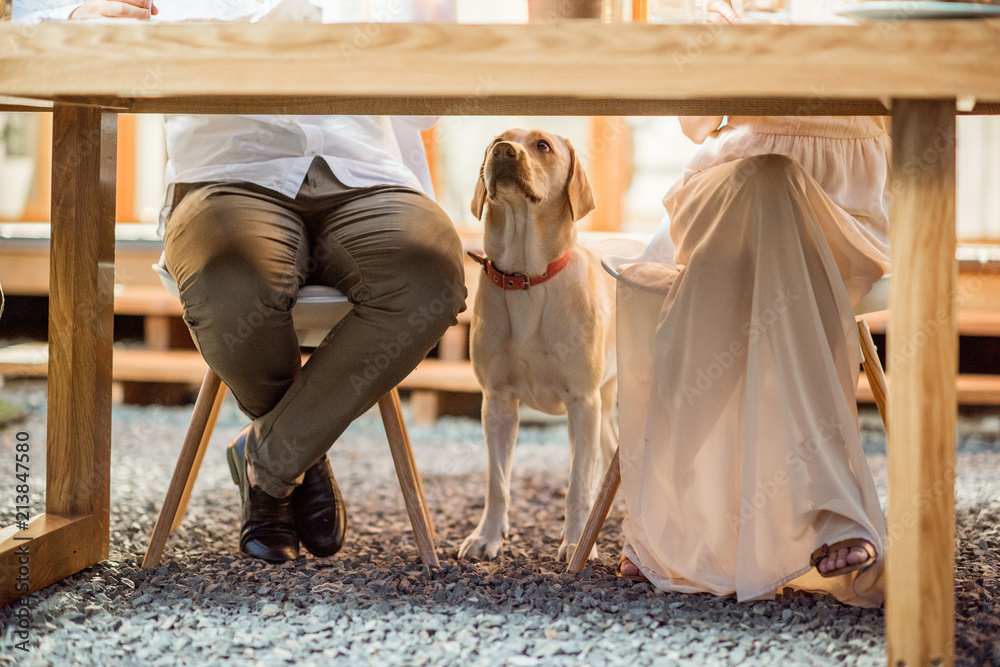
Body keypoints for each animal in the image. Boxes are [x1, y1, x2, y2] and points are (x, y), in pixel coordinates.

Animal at [458, 129, 644, 564]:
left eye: (542, 145)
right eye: (497, 139)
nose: (502, 152)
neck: (527, 279)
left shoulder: (581, 402)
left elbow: (576, 484)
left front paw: (576, 542)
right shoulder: (497, 401)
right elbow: (497, 482)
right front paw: (487, 536)